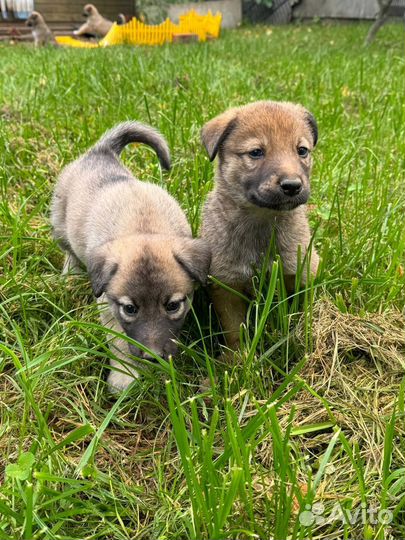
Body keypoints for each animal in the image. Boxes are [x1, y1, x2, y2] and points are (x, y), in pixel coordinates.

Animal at [51, 122, 210, 392]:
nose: (153, 356)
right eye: (130, 309)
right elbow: (119, 343)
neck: (143, 228)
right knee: (69, 251)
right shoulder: (108, 307)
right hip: (60, 224)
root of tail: (101, 152)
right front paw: (124, 377)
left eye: (172, 305)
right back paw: (70, 275)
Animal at [200, 100, 318, 352]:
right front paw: (237, 356)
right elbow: (235, 329)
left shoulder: (302, 272)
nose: (292, 186)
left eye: (301, 151)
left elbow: (303, 312)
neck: (263, 220)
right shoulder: (227, 285)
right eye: (256, 152)